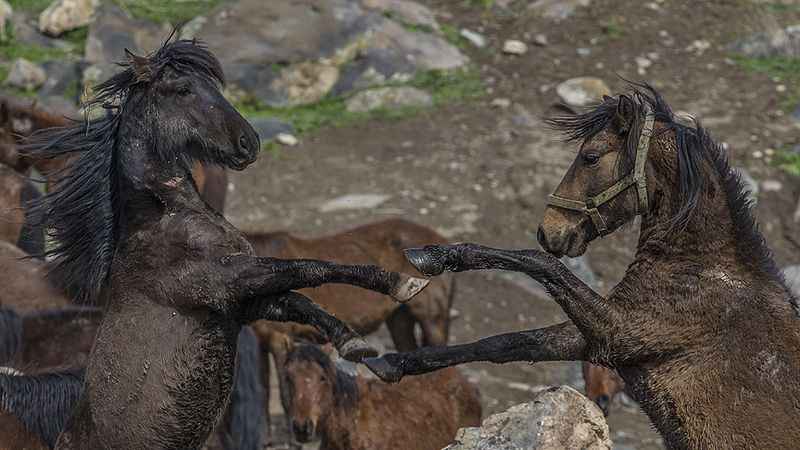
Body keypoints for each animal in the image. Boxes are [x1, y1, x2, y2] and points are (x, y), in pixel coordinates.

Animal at [21, 37, 428, 448]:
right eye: (183, 89)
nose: (249, 142)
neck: (167, 215)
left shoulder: (244, 304)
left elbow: (302, 298)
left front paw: (361, 342)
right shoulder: (227, 281)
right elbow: (311, 268)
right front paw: (403, 283)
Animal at [366, 86, 800, 448]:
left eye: (590, 157)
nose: (549, 230)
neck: (705, 269)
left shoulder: (618, 331)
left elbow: (537, 263)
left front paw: (435, 256)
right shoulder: (598, 343)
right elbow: (504, 343)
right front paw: (388, 362)